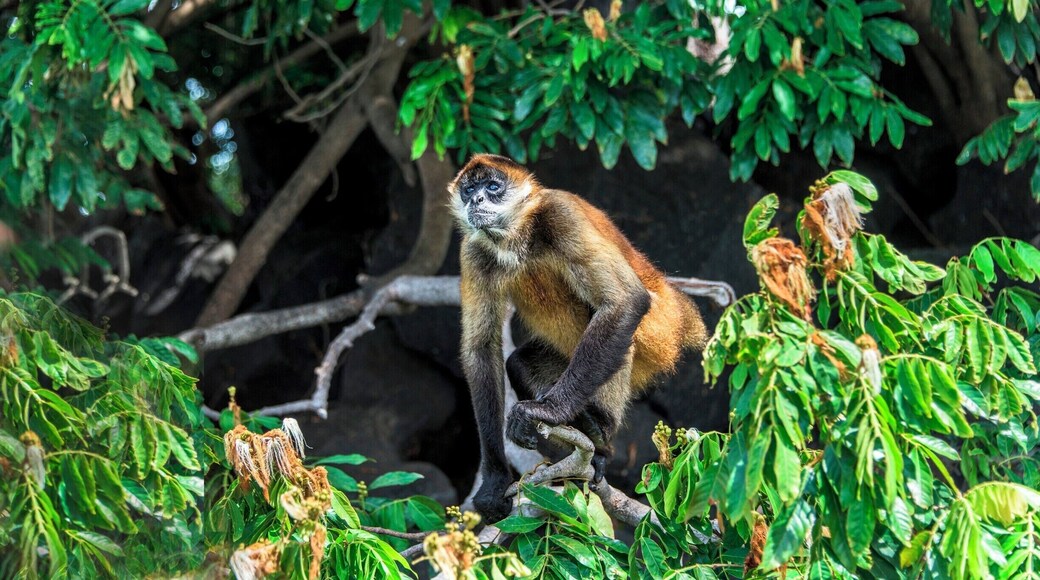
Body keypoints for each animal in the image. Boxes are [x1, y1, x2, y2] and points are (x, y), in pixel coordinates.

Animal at [451, 154, 709, 522]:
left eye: (493, 187)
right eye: (469, 190)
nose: (476, 200)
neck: (516, 238)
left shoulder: (559, 213)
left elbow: (626, 301)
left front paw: (548, 413)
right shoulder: (474, 249)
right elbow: (481, 349)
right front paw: (495, 480)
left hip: (659, 329)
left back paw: (599, 431)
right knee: (518, 363)